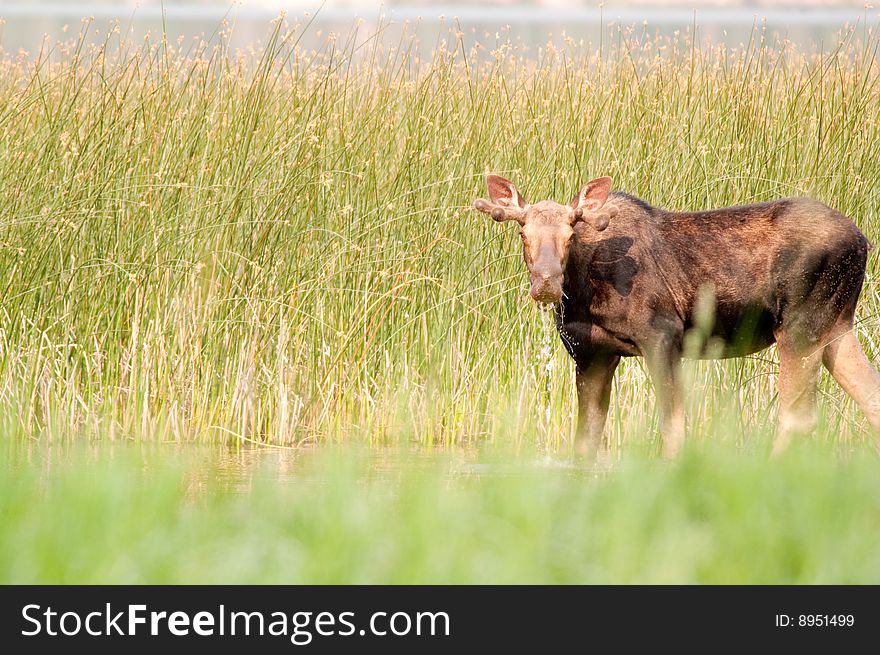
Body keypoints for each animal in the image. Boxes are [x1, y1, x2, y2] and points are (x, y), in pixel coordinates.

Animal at [474, 177, 880, 458]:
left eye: (571, 234)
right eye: (523, 233)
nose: (546, 282)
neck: (585, 294)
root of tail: (863, 241)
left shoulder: (662, 334)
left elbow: (673, 427)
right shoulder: (591, 354)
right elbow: (586, 440)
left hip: (800, 325)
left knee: (798, 418)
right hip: (836, 325)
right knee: (869, 398)